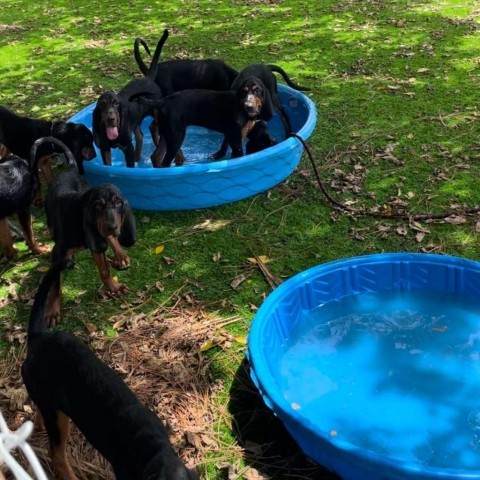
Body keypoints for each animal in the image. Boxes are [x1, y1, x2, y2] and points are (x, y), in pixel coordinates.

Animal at [22, 258, 199, 480]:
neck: (152, 449)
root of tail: (37, 336)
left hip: (51, 406)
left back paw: (38, 423)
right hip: (58, 421)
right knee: (57, 456)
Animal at [92, 30, 169, 169]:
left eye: (116, 104)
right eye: (102, 104)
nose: (110, 119)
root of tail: (148, 78)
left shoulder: (127, 148)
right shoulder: (104, 149)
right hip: (136, 119)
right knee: (140, 135)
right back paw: (138, 156)